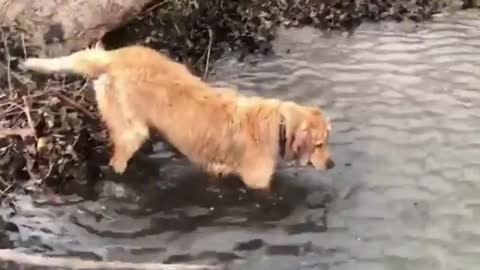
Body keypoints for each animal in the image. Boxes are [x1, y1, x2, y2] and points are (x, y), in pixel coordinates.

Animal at [19, 43, 334, 190]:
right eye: (319, 144)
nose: (331, 164)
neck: (277, 125)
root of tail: (114, 56)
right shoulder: (257, 183)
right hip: (131, 131)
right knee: (117, 161)